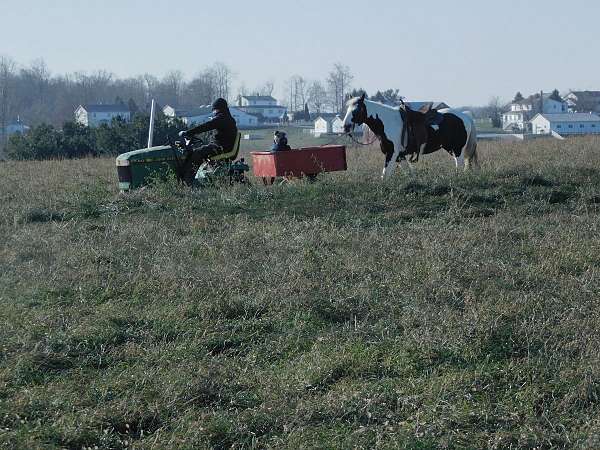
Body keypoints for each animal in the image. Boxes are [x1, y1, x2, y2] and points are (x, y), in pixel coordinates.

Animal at [342, 94, 478, 178]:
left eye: (357, 110)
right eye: (347, 109)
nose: (345, 126)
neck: (388, 122)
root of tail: (465, 115)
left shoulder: (392, 153)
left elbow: (385, 175)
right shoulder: (400, 156)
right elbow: (408, 172)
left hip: (458, 149)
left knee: (460, 165)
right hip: (451, 149)